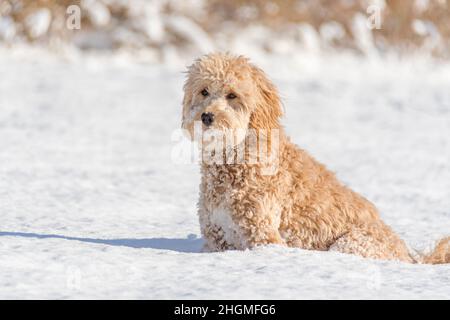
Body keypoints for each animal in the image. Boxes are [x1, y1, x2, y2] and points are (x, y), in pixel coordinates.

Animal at [181, 52, 448, 264]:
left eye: (232, 95)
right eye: (204, 91)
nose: (206, 117)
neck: (234, 158)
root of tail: (408, 255)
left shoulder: (263, 234)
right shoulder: (216, 236)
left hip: (350, 243)